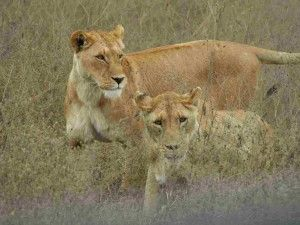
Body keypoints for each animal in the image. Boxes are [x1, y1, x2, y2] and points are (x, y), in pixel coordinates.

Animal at [63, 25, 298, 148]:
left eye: (120, 56)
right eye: (100, 57)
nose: (120, 79)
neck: (90, 94)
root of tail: (246, 48)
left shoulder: (136, 140)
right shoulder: (77, 142)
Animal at [135, 87, 274, 214]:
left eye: (182, 119)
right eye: (158, 122)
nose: (173, 147)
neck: (169, 167)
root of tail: (264, 122)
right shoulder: (153, 187)